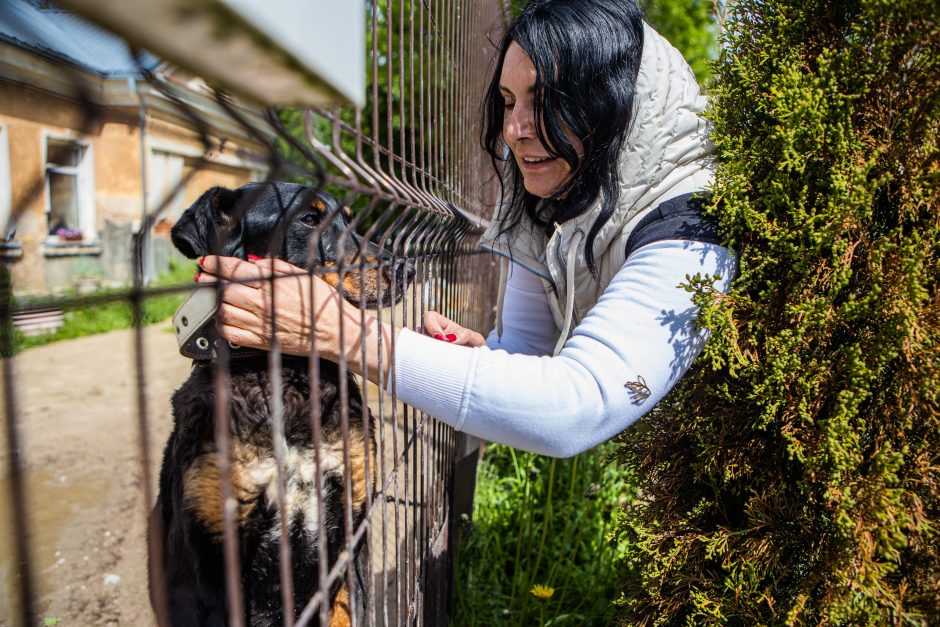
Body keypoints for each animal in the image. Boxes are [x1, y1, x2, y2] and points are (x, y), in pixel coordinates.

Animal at [149, 182, 406, 627]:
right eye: (309, 218)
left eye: (350, 219)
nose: (407, 269)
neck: (286, 375)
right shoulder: (209, 572)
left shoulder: (352, 527)